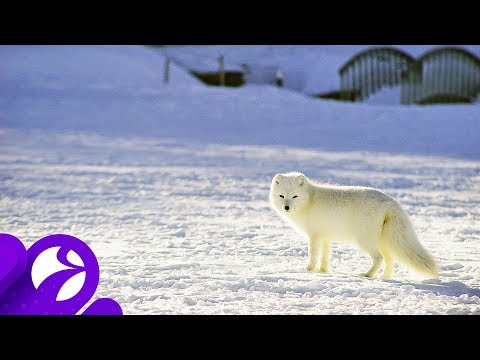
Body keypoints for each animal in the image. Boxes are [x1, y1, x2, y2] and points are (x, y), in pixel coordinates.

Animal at [270, 172, 438, 278]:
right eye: (281, 196)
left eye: (295, 196)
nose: (286, 207)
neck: (310, 200)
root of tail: (390, 201)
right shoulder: (325, 237)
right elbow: (325, 256)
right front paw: (322, 271)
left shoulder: (314, 236)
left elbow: (313, 255)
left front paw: (308, 270)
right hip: (383, 241)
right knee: (390, 259)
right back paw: (384, 277)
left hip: (364, 240)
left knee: (379, 258)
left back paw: (368, 275)